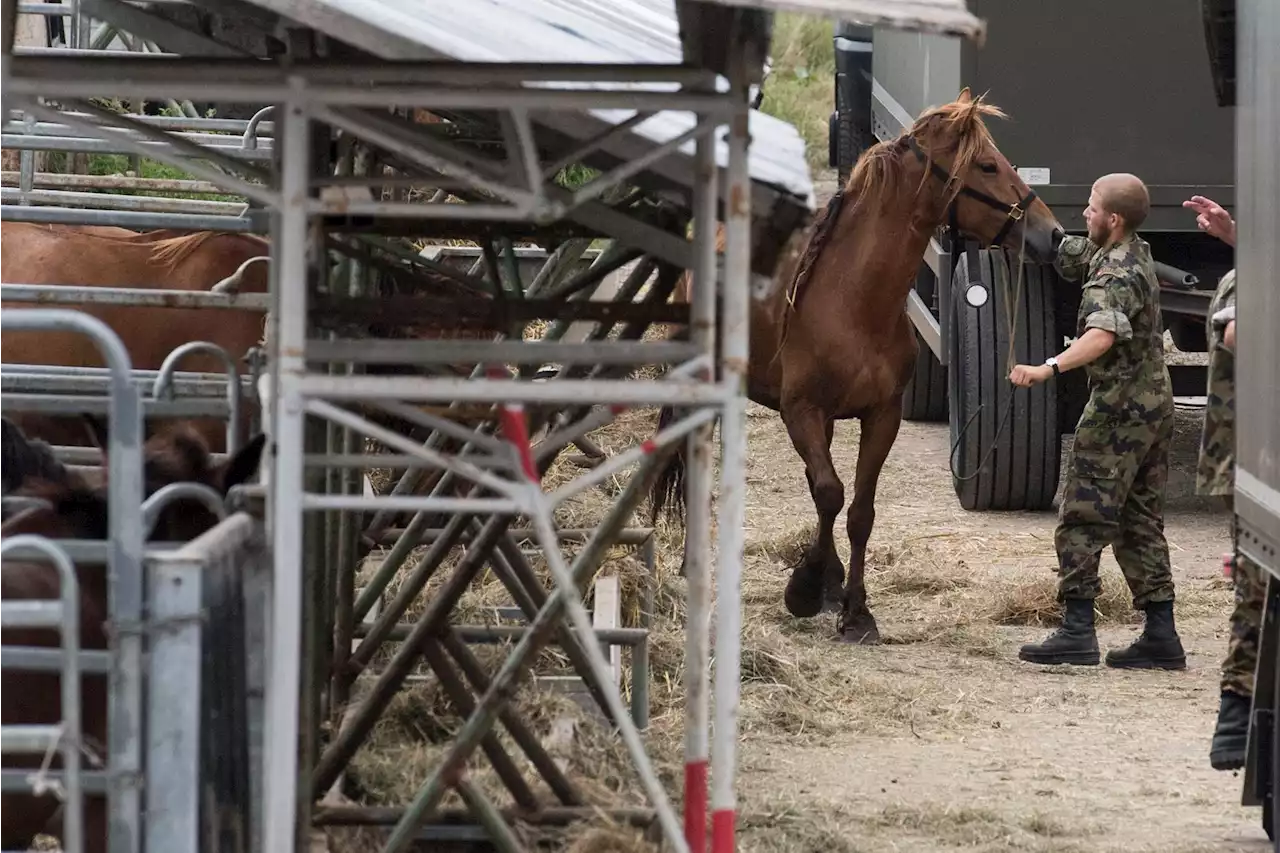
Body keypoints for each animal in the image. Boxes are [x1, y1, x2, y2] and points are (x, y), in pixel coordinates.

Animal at [655, 89, 1064, 640]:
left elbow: (857, 510)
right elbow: (830, 492)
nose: (1053, 234)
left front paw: (852, 608)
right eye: (986, 165)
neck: (853, 299)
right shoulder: (800, 411)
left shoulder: (880, 416)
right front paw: (806, 587)